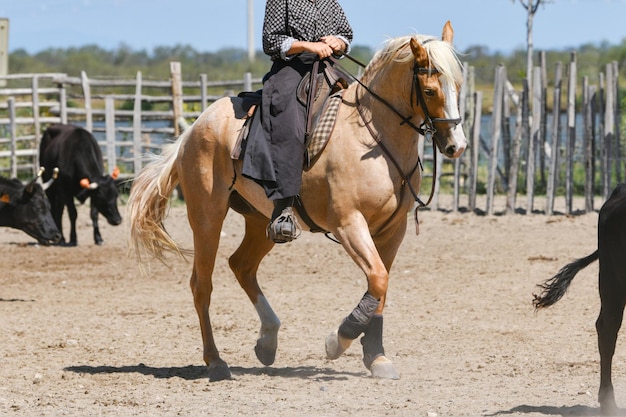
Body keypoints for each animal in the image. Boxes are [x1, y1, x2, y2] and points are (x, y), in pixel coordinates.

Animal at [129, 22, 466, 380]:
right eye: (429, 91)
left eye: (458, 86)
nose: (456, 146)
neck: (370, 135)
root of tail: (192, 130)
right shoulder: (349, 224)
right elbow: (377, 279)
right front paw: (338, 340)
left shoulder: (393, 230)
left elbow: (381, 286)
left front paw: (377, 358)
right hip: (207, 216)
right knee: (201, 284)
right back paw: (217, 362)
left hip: (262, 221)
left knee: (241, 265)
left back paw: (267, 341)